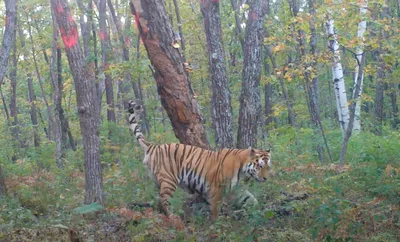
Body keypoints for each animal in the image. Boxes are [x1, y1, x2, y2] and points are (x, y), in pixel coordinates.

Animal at [128, 101, 272, 220]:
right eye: (259, 166)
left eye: (268, 167)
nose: (266, 178)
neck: (243, 170)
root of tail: (153, 146)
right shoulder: (216, 189)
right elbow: (215, 209)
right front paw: (216, 223)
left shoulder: (237, 190)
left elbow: (251, 199)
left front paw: (260, 211)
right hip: (169, 181)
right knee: (164, 201)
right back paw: (173, 217)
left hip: (158, 181)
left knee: (158, 200)